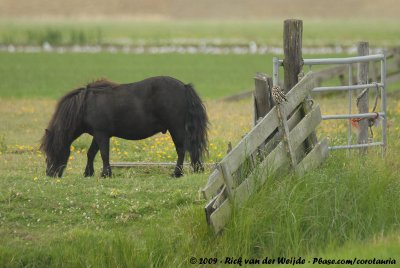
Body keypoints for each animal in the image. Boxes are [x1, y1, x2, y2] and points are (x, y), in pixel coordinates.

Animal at [40, 76, 209, 178]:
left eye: (52, 150)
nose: (50, 173)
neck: (86, 105)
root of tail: (184, 87)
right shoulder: (97, 134)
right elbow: (91, 153)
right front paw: (89, 173)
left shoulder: (102, 134)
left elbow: (104, 154)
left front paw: (105, 174)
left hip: (176, 129)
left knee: (181, 150)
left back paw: (177, 173)